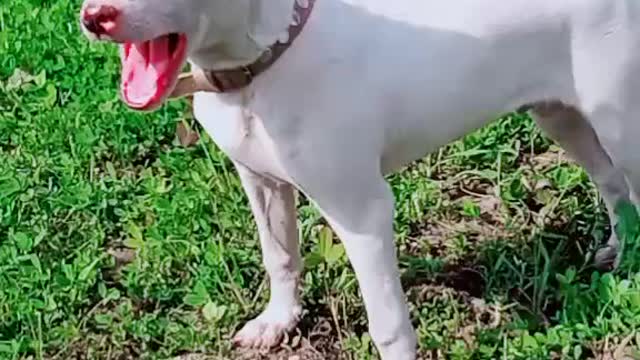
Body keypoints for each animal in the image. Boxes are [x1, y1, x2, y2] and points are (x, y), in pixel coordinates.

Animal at [79, 0, 640, 358]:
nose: (95, 16)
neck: (262, 63)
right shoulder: (259, 180)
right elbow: (280, 256)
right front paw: (278, 321)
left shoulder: (362, 212)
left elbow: (388, 323)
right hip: (561, 115)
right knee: (613, 185)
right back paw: (619, 251)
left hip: (619, 122)